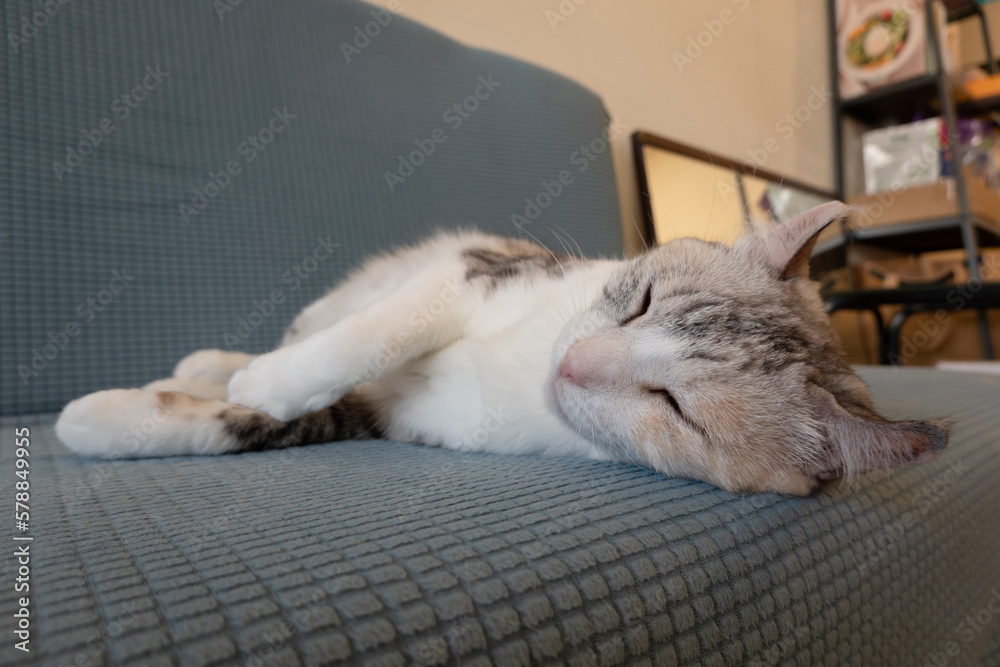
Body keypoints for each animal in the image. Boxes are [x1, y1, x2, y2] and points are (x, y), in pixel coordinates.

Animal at [54, 204, 944, 496]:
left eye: (677, 406)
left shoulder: (385, 418)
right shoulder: (472, 272)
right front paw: (269, 376)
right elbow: (373, 334)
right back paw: (223, 360)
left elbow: (262, 421)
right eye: (642, 299)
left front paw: (102, 421)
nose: (572, 364)